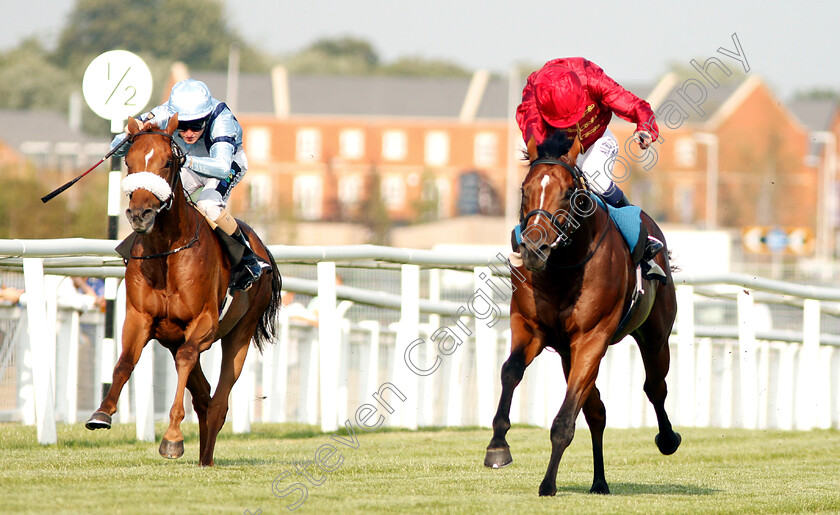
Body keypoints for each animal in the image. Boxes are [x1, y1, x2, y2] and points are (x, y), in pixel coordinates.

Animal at [85, 116, 284, 468]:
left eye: (167, 162)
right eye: (129, 162)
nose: (140, 214)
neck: (167, 250)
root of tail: (262, 248)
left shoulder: (203, 322)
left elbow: (188, 358)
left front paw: (173, 438)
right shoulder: (140, 317)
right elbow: (124, 361)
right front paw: (102, 413)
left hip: (241, 332)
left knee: (218, 399)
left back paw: (207, 457)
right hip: (171, 338)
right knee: (203, 396)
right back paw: (204, 454)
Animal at [486, 132, 684, 496]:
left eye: (568, 193)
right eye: (524, 189)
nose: (534, 249)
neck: (563, 268)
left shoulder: (592, 338)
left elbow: (565, 419)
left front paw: (548, 484)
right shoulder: (530, 328)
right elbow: (510, 371)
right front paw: (498, 446)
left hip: (655, 336)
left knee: (654, 386)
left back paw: (667, 439)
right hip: (568, 352)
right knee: (597, 410)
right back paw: (600, 481)